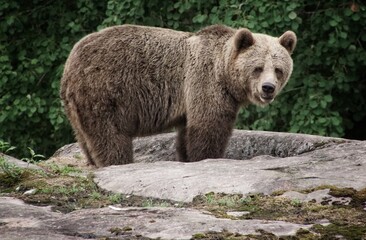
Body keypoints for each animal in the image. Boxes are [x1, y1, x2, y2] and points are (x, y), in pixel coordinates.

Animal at [59, 24, 294, 167]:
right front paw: (208, 157)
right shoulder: (204, 82)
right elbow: (209, 127)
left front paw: (187, 157)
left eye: (278, 69)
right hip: (105, 91)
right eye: (257, 68)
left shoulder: (189, 102)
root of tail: (70, 62)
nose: (268, 88)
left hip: (75, 105)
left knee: (84, 136)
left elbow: (186, 134)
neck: (224, 73)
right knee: (110, 135)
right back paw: (117, 162)